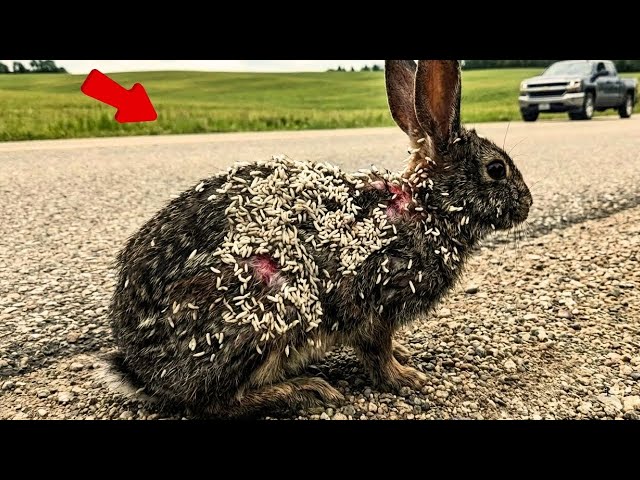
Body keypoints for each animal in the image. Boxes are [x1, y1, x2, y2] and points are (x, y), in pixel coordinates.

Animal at [108, 60, 532, 418]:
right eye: (497, 169)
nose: (527, 205)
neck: (428, 206)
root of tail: (144, 371)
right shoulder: (377, 302)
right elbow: (376, 351)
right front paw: (406, 378)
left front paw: (405, 359)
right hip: (264, 308)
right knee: (215, 403)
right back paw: (308, 391)